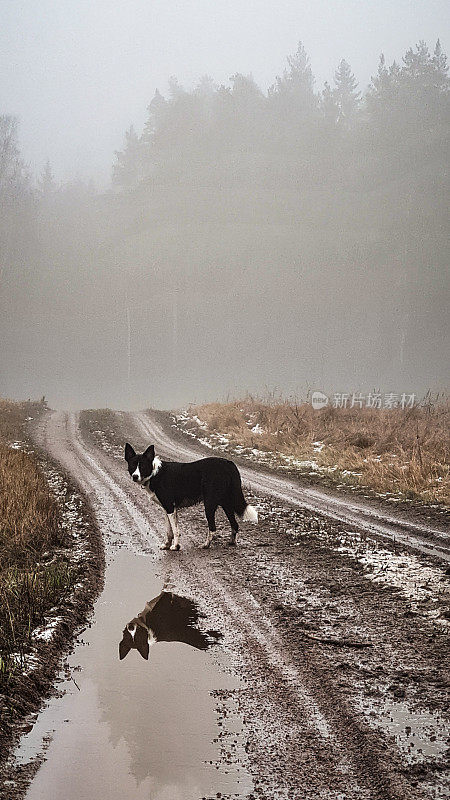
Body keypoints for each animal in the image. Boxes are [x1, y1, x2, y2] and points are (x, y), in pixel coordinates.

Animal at [125, 444, 258, 552]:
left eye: (142, 466)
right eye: (132, 466)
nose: (135, 476)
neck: (154, 473)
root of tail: (229, 464)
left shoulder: (170, 508)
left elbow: (175, 530)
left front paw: (175, 547)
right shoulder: (167, 509)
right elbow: (169, 531)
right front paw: (167, 545)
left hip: (209, 504)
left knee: (213, 528)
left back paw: (205, 545)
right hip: (226, 503)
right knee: (234, 524)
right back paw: (232, 542)